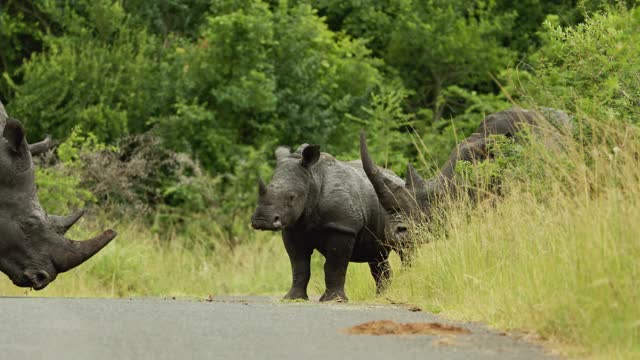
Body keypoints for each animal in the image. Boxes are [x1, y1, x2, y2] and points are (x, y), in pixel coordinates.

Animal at [250, 143, 400, 300]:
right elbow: (299, 265)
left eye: (291, 197)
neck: (312, 178)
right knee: (377, 257)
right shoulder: (292, 227)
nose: (262, 220)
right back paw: (381, 297)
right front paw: (293, 298)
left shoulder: (342, 226)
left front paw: (334, 300)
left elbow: (334, 265)